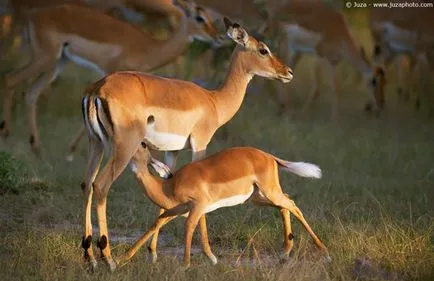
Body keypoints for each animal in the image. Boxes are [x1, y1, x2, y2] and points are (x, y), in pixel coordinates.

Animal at [0, 0, 220, 154]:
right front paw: (71, 150)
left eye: (210, 17)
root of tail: (32, 17)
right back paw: (7, 133)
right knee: (10, 79)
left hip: (57, 63)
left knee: (31, 93)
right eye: (199, 18)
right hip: (45, 58)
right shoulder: (110, 72)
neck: (149, 47)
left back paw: (36, 147)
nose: (217, 37)